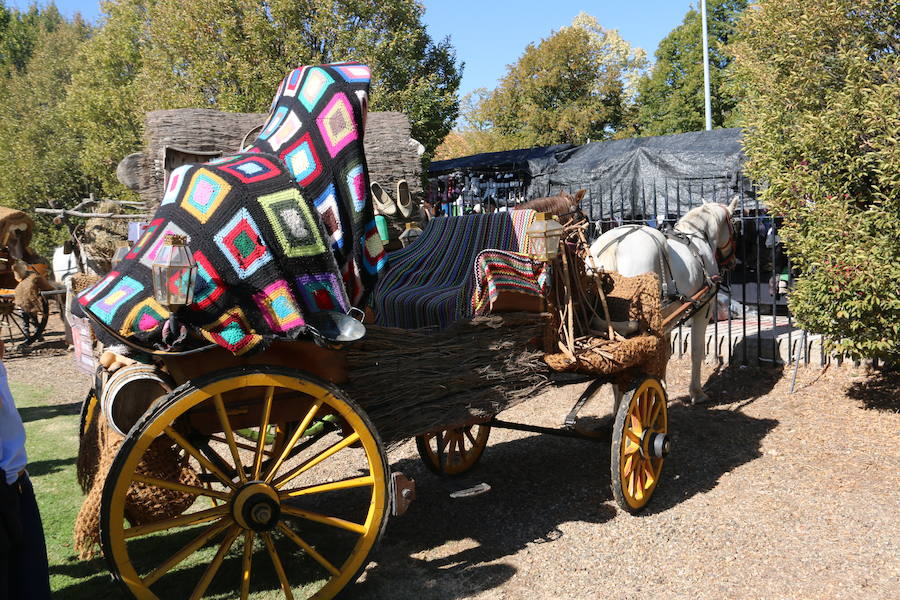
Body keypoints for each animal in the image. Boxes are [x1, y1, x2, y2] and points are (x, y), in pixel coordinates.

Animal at [592, 199, 740, 406]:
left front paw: (661, 390)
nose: (733, 262)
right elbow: (696, 350)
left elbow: (666, 353)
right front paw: (696, 393)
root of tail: (613, 244)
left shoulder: (668, 316)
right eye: (734, 226)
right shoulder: (704, 307)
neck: (698, 238)